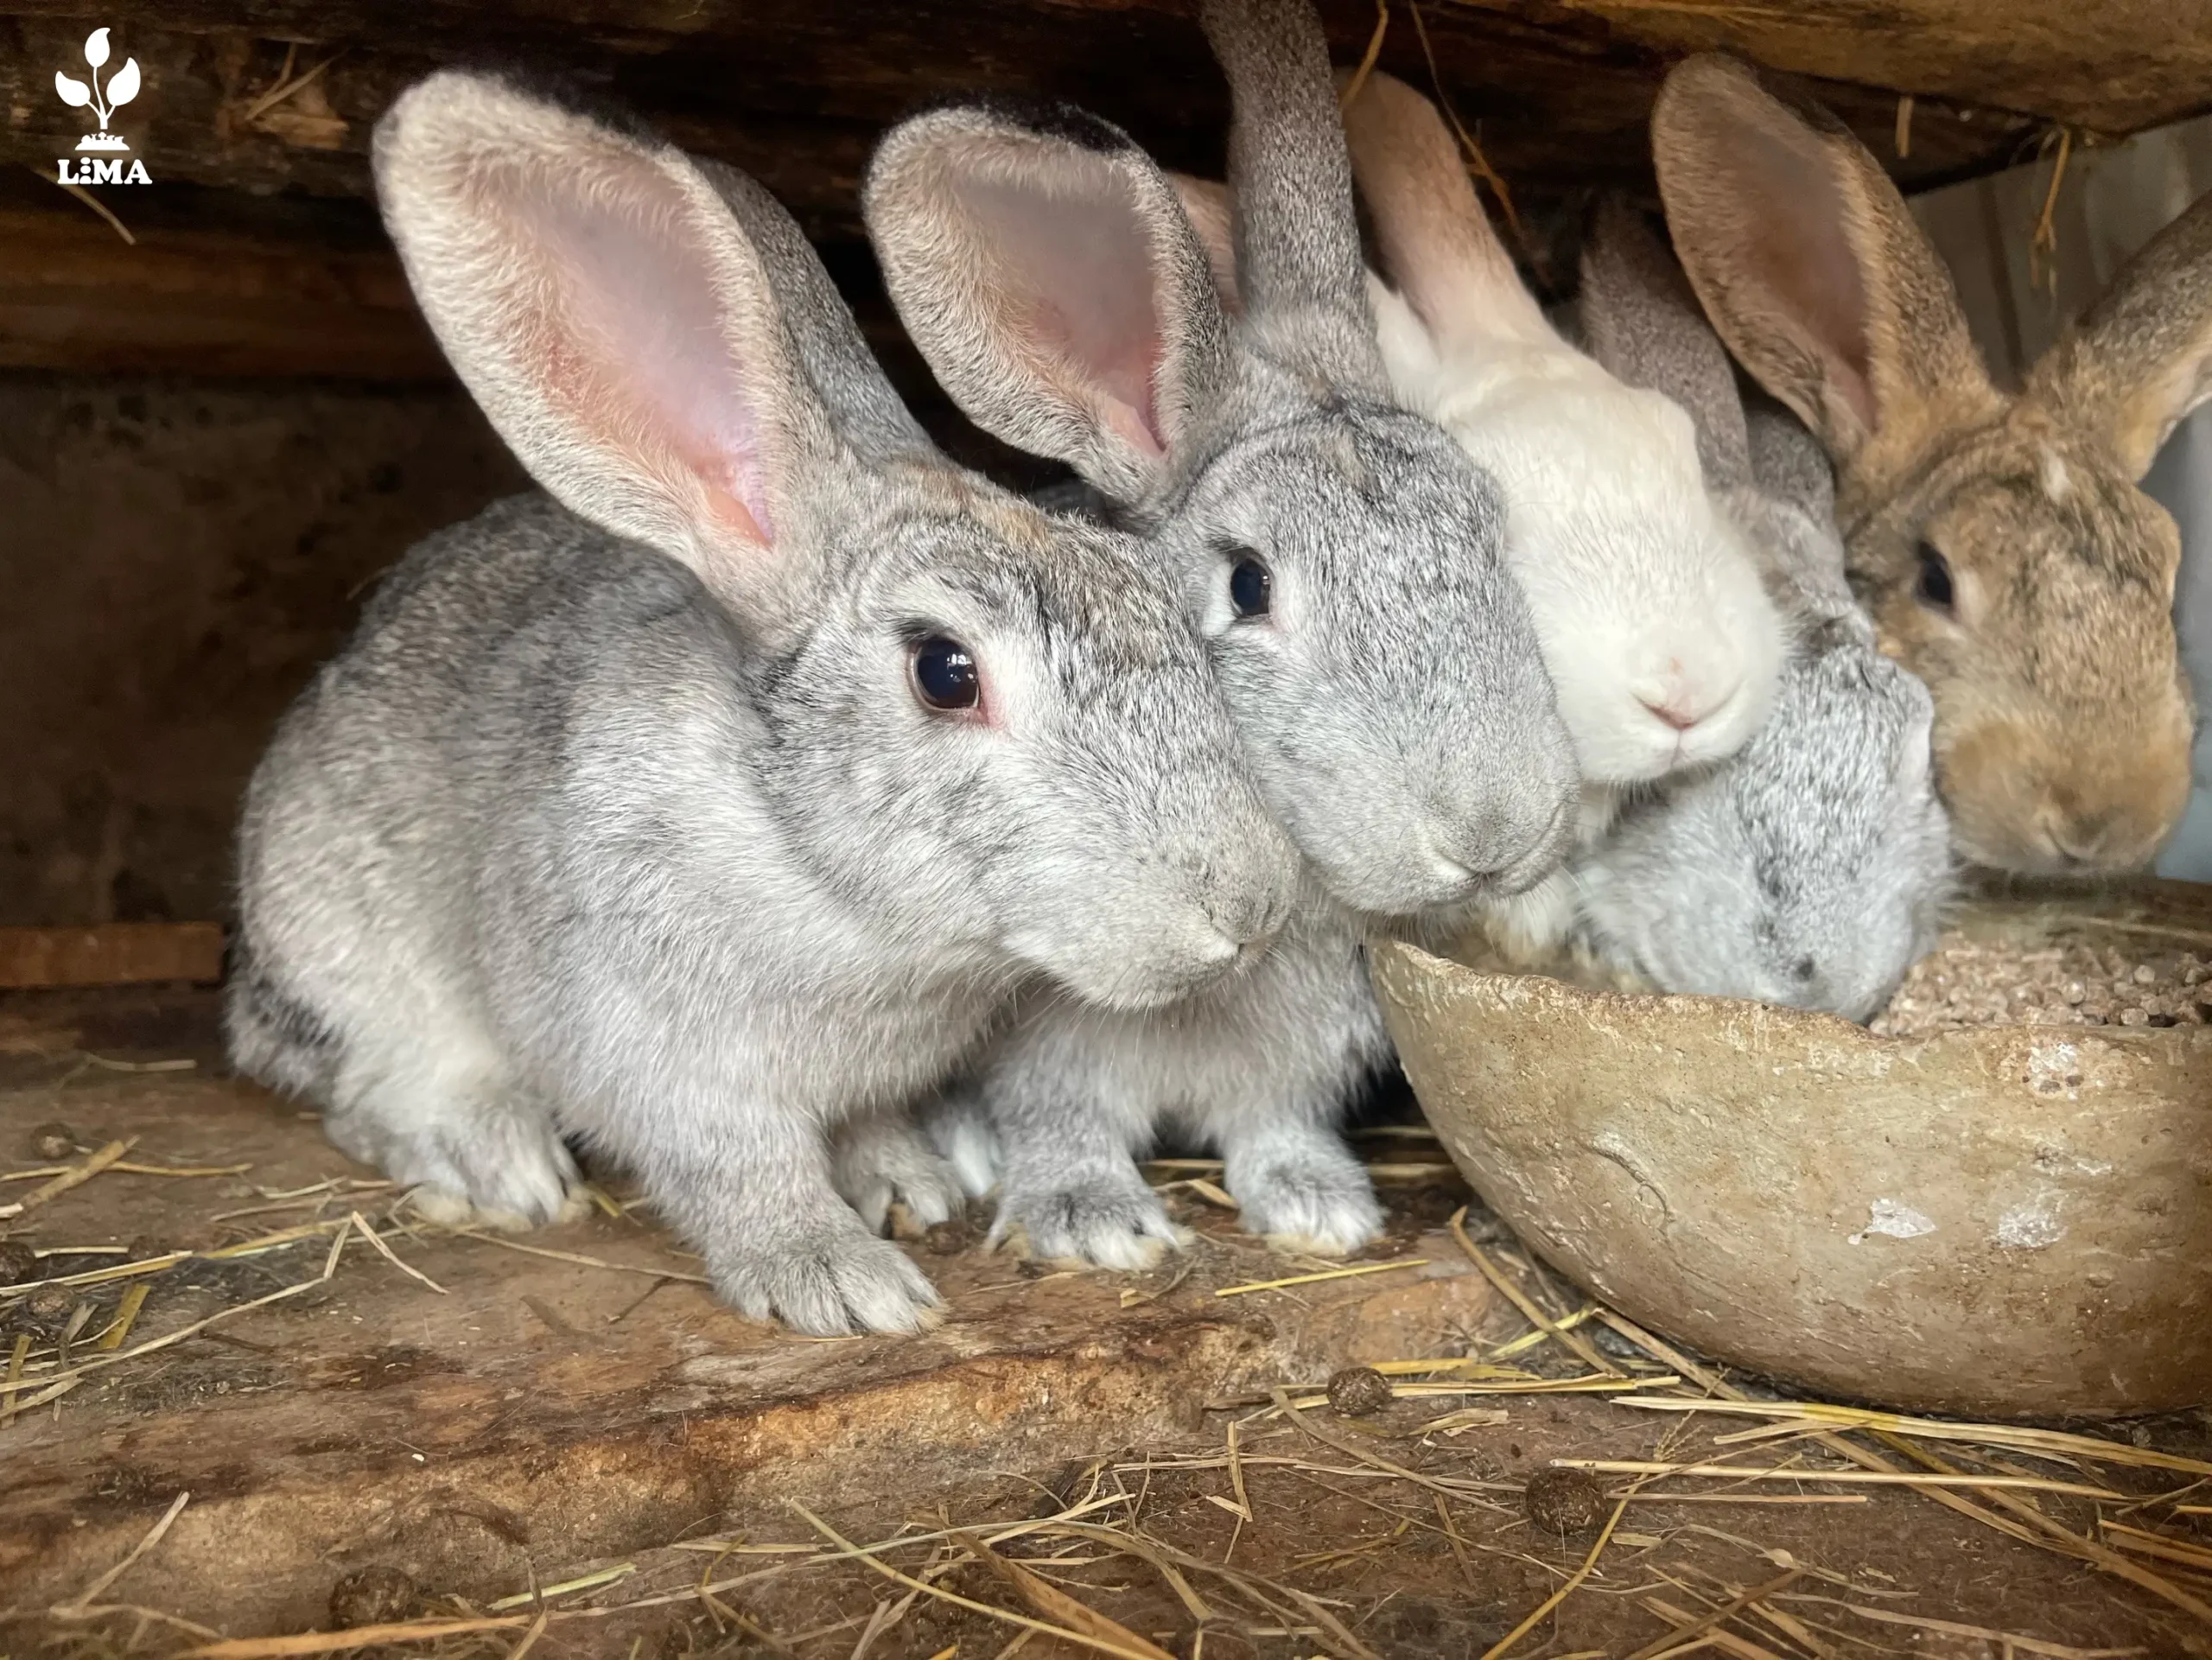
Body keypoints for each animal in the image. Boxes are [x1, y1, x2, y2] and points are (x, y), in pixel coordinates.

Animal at [225, 69, 1304, 1335]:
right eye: (945, 672)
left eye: (1158, 601)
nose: (1249, 905)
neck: (814, 863)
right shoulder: (667, 1067)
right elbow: (744, 1176)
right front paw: (843, 1282)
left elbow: (866, 1131)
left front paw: (909, 1186)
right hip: (343, 946)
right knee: (371, 1087)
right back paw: (497, 1162)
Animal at [863, 0, 1579, 1265]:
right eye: (1247, 586)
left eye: (1491, 524)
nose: (1496, 832)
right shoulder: (1046, 1053)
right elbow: (1060, 1122)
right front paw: (1090, 1223)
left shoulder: (1288, 1072)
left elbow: (1271, 1126)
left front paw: (1319, 1207)